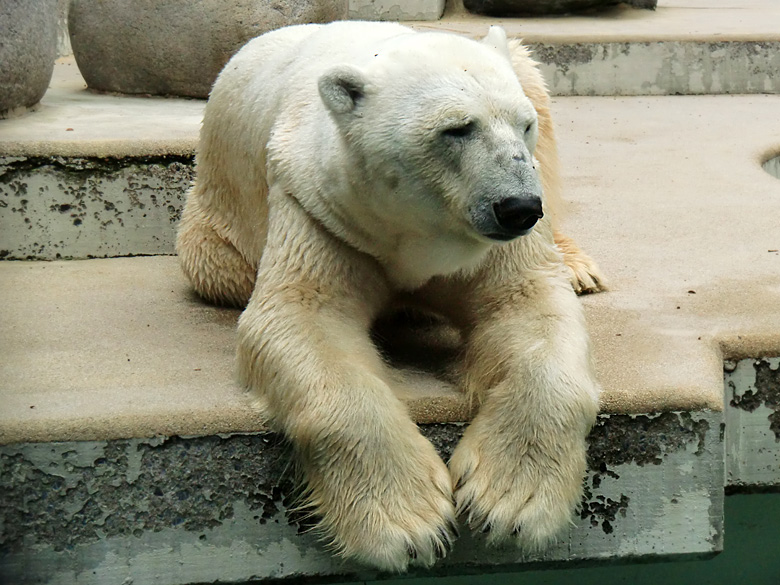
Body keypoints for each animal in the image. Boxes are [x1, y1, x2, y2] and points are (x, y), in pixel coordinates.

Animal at [175, 21, 604, 572]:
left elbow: (525, 302)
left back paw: (576, 266)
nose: (518, 207)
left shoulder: (492, 243)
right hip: (215, 231)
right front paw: (405, 523)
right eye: (457, 129)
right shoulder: (320, 207)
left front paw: (511, 502)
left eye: (521, 124)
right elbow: (303, 315)